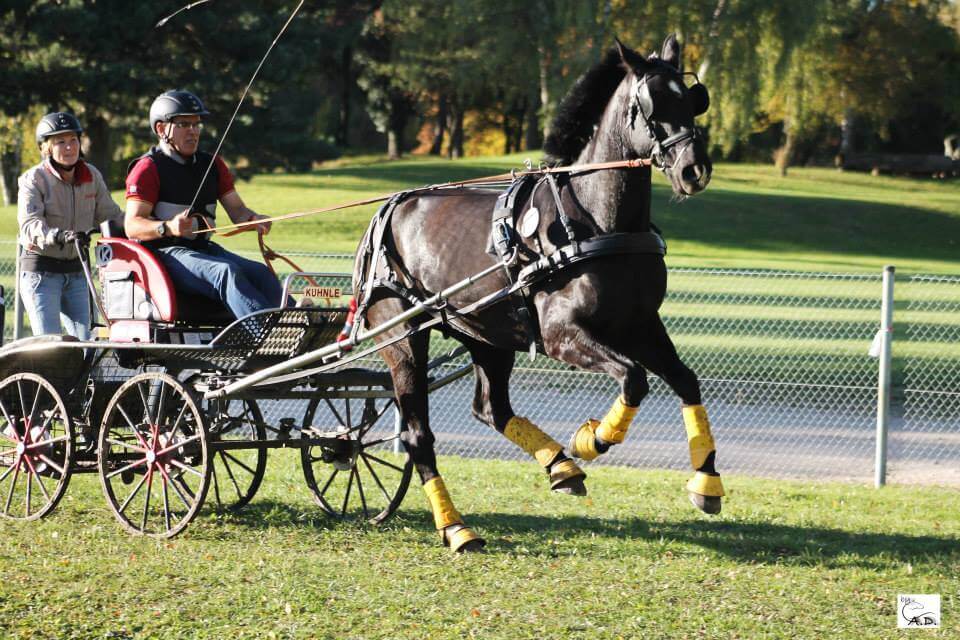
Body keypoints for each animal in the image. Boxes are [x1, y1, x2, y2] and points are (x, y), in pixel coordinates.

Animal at [356, 35, 724, 552]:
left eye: (692, 100)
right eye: (648, 104)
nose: (695, 170)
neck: (593, 221)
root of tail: (388, 209)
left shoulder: (640, 324)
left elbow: (685, 380)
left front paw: (706, 482)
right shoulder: (560, 334)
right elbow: (634, 378)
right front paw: (594, 439)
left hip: (488, 335)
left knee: (491, 408)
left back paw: (559, 465)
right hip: (403, 338)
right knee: (417, 436)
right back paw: (456, 526)